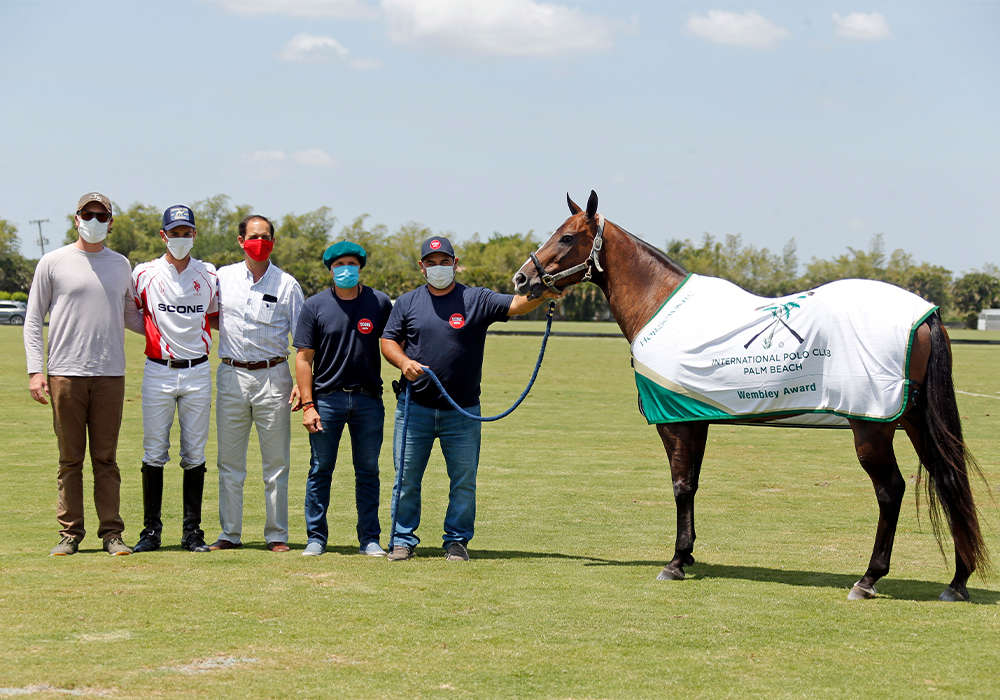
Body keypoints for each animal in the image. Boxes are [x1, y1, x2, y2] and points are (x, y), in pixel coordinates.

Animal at [520, 191, 988, 600]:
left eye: (567, 236)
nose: (523, 278)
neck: (658, 306)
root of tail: (925, 315)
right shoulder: (695, 419)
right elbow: (692, 485)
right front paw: (686, 555)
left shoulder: (675, 422)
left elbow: (680, 485)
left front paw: (674, 563)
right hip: (914, 420)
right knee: (949, 479)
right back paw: (957, 581)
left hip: (871, 426)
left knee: (890, 491)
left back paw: (868, 579)